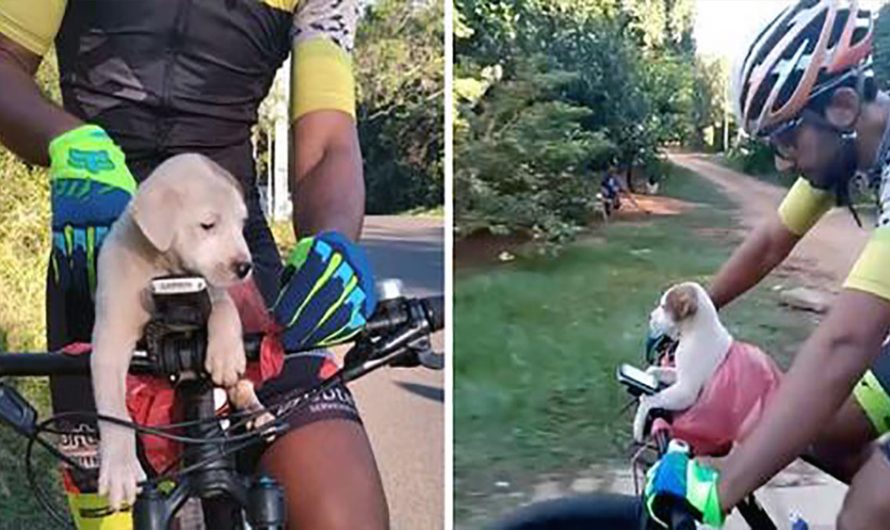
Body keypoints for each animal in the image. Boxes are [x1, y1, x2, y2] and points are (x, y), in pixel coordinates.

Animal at [91, 153, 256, 508]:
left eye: (241, 225)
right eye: (208, 225)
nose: (244, 267)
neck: (162, 269)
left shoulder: (211, 292)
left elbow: (225, 309)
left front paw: (225, 354)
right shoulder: (111, 337)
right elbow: (114, 409)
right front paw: (120, 468)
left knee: (242, 385)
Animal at [632, 280, 728, 442]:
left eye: (664, 307)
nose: (649, 316)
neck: (694, 333)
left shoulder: (685, 392)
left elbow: (651, 400)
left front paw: (638, 424)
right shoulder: (680, 375)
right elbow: (654, 370)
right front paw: (645, 379)